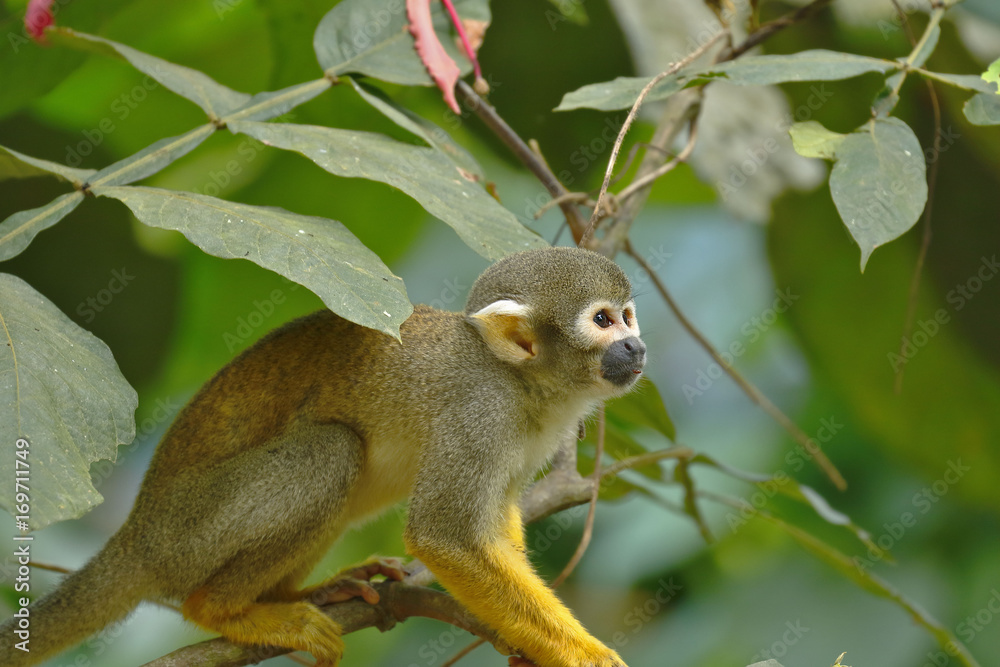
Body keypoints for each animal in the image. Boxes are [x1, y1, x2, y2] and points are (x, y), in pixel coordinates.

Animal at [0, 246, 645, 667]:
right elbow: (446, 537)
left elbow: (493, 524)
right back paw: (226, 610)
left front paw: (517, 639)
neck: (526, 384)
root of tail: (135, 535)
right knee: (333, 451)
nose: (637, 347)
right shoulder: (479, 410)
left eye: (628, 315)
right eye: (602, 320)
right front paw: (586, 656)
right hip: (187, 534)